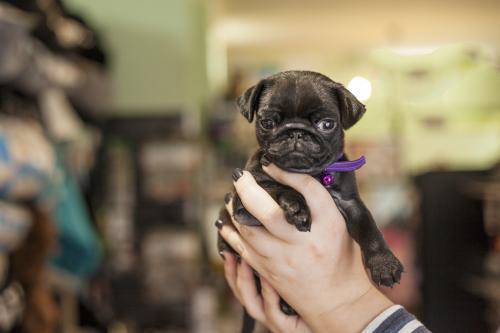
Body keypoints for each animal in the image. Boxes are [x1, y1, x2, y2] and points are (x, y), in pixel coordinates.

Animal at [217, 70, 404, 330]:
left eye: (326, 124)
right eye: (268, 122)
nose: (296, 132)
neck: (309, 174)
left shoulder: (351, 204)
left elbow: (370, 229)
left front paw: (384, 263)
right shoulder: (245, 202)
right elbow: (278, 186)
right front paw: (298, 209)